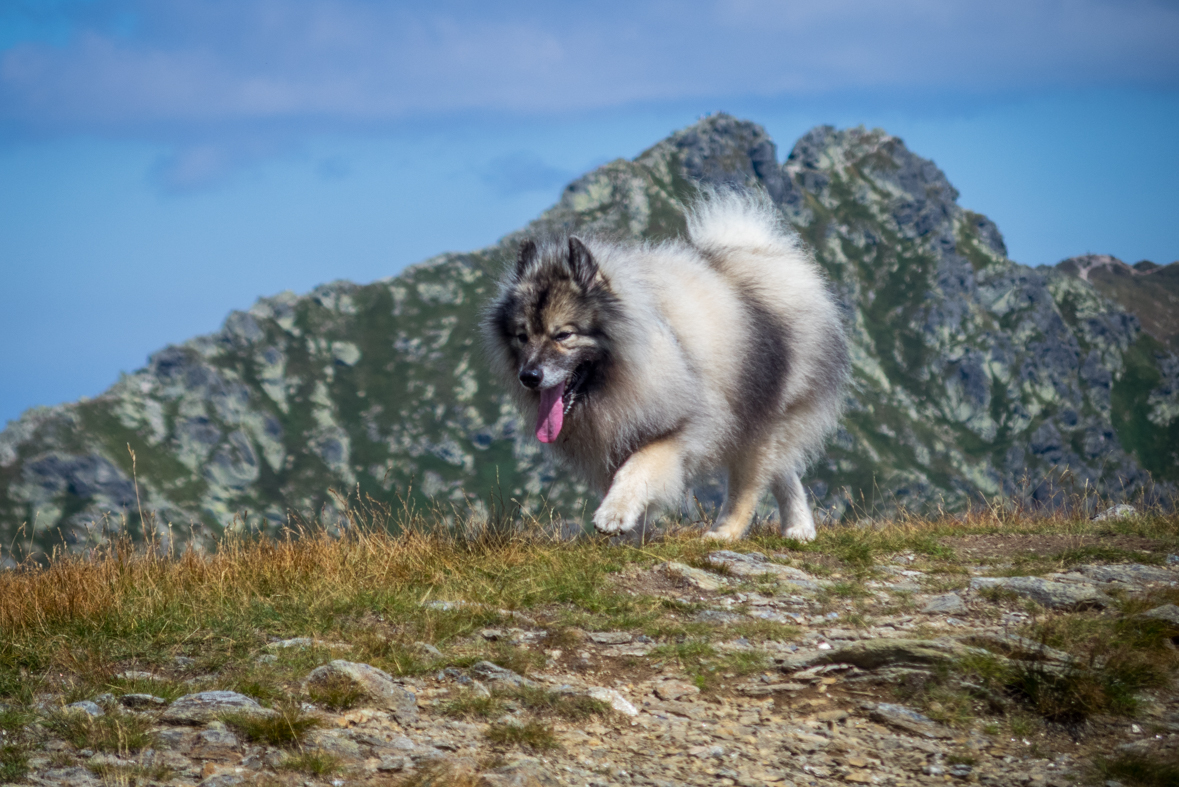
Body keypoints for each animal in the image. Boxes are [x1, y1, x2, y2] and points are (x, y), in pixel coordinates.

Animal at [478, 190, 848, 541]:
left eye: (564, 335)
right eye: (522, 336)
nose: (529, 376)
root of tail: (766, 253)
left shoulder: (676, 430)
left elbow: (637, 469)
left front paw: (614, 514)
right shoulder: (615, 438)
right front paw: (629, 539)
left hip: (761, 418)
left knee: (749, 485)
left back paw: (724, 532)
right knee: (783, 470)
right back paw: (799, 529)